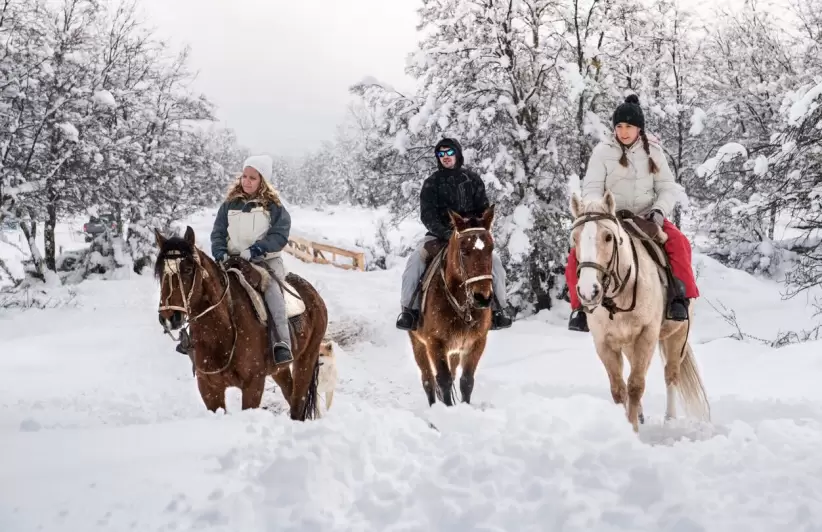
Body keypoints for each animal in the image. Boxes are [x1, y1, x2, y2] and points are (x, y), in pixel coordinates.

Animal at [154, 224, 328, 420]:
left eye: (188, 269)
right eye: (160, 272)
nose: (169, 317)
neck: (223, 331)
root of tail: (313, 293)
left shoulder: (253, 385)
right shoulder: (209, 388)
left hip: (307, 358)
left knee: (298, 404)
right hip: (280, 370)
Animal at [410, 206, 496, 406]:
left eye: (491, 248)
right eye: (464, 251)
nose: (482, 298)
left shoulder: (476, 343)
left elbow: (466, 381)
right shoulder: (435, 343)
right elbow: (443, 380)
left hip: (455, 351)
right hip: (418, 344)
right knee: (428, 380)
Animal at [572, 191, 708, 432]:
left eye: (608, 237)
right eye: (574, 239)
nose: (589, 291)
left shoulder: (647, 335)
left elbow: (636, 385)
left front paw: (633, 428)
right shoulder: (604, 342)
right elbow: (618, 389)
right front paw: (626, 423)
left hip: (678, 334)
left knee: (671, 374)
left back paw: (669, 418)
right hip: (628, 344)